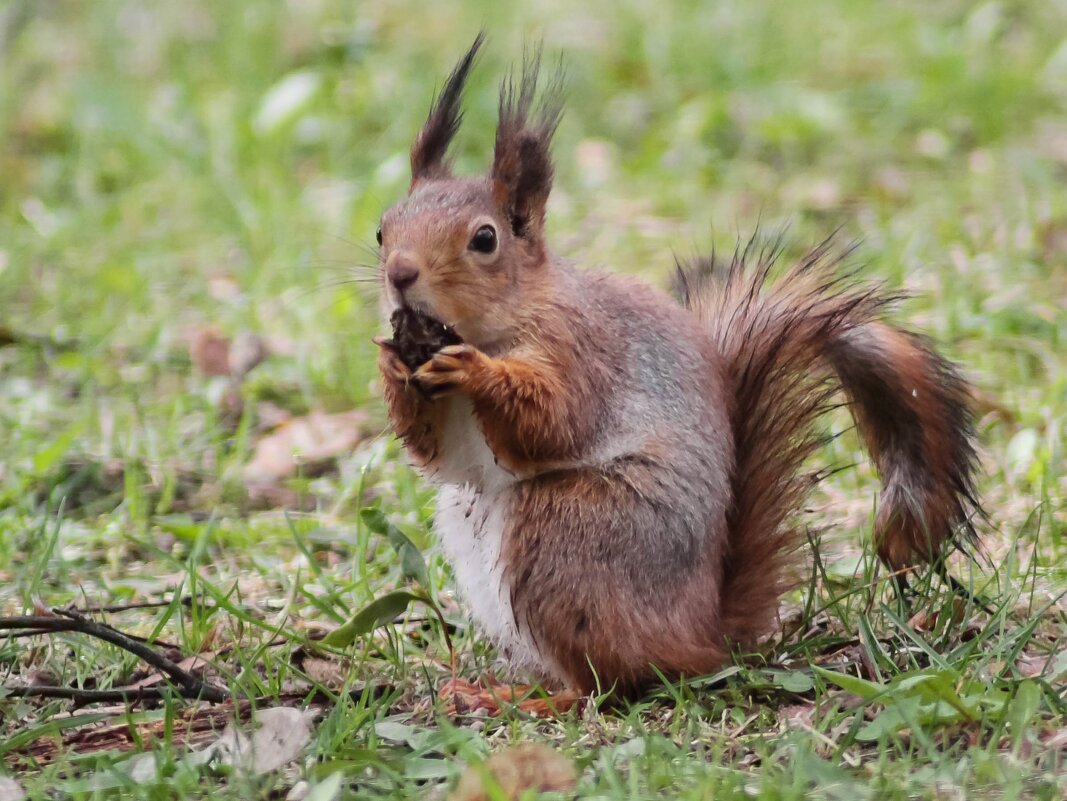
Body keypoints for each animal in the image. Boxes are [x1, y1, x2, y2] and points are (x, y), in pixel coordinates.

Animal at [371, 35, 977, 699]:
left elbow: (552, 423)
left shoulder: (583, 351)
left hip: (568, 535)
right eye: (381, 230)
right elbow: (441, 456)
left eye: (484, 239)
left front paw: (475, 370)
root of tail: (702, 634)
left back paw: (538, 699)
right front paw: (392, 365)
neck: (496, 321)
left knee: (604, 683)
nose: (400, 275)